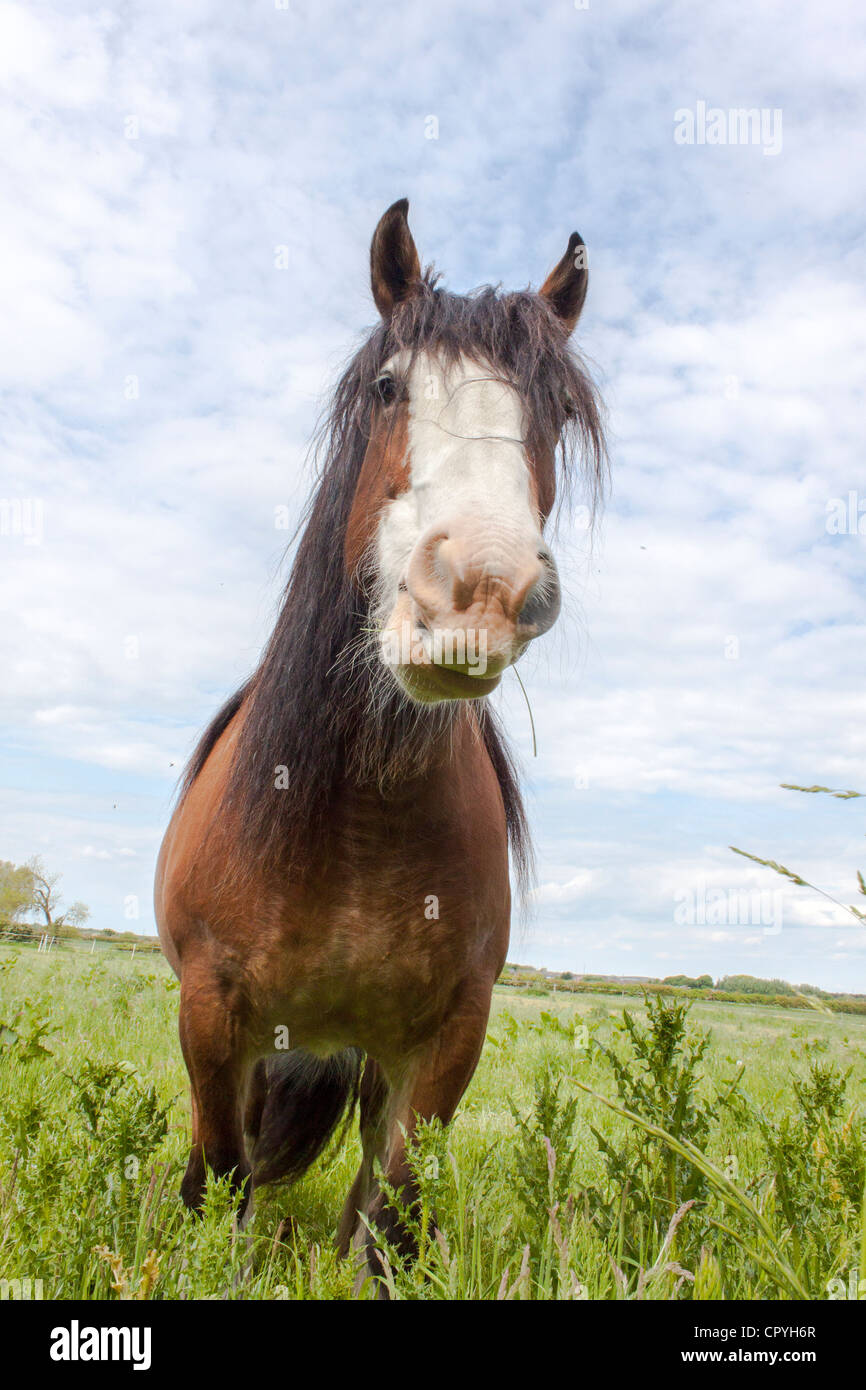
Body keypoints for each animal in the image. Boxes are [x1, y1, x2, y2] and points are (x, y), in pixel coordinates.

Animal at [154, 198, 605, 1291]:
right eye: (389, 387)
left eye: (556, 415)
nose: (481, 590)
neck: (359, 821)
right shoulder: (211, 1016)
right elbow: (219, 1180)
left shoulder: (443, 1042)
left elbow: (389, 1219)